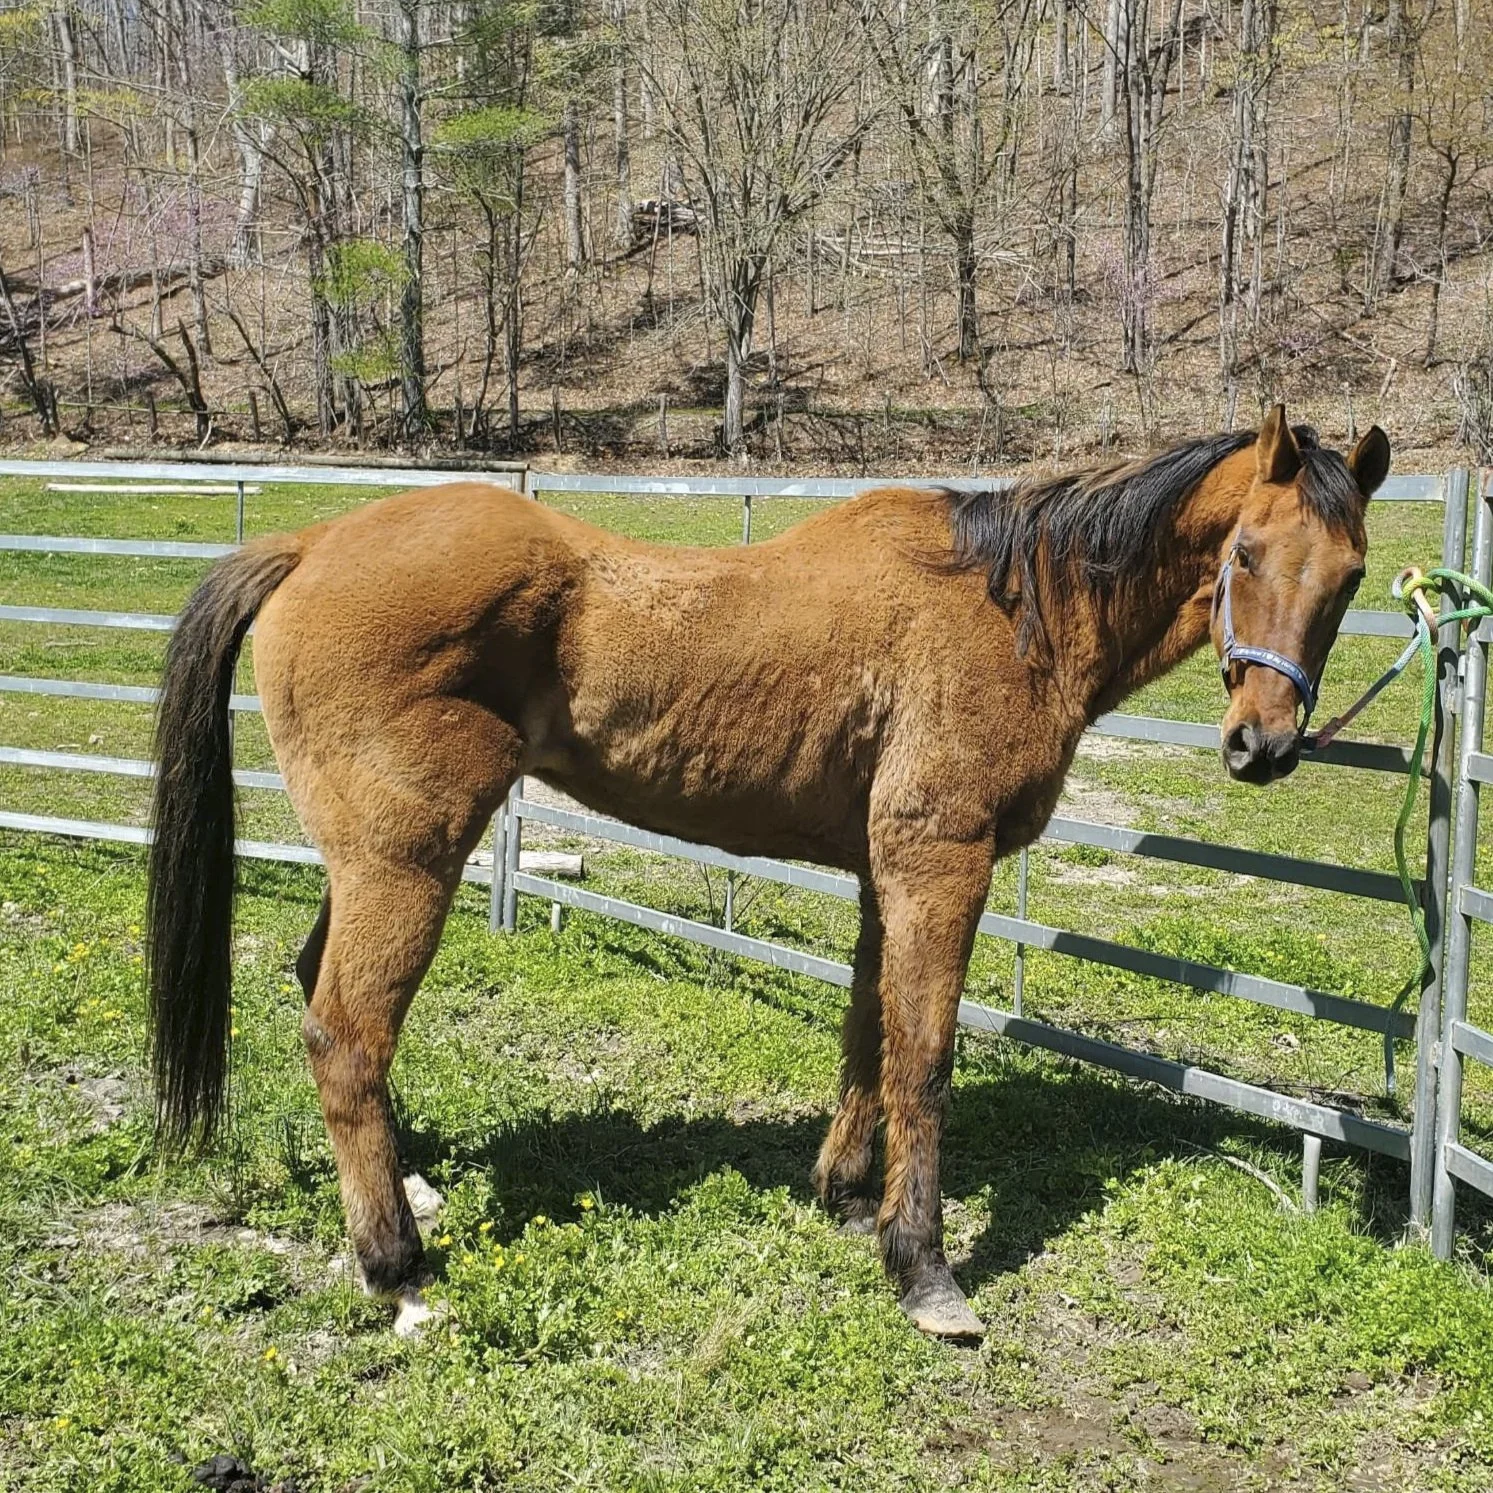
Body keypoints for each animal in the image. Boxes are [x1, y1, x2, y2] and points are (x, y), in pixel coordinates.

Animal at [145, 407, 1389, 1339]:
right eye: (1243, 554)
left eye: (1349, 576)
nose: (1262, 744)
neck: (1007, 608)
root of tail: (313, 544)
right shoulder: (941, 858)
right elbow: (924, 1057)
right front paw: (923, 1269)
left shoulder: (888, 869)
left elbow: (867, 1031)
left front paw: (843, 1195)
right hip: (407, 861)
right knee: (347, 1034)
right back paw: (397, 1269)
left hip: (366, 864)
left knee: (319, 994)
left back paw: (409, 1191)